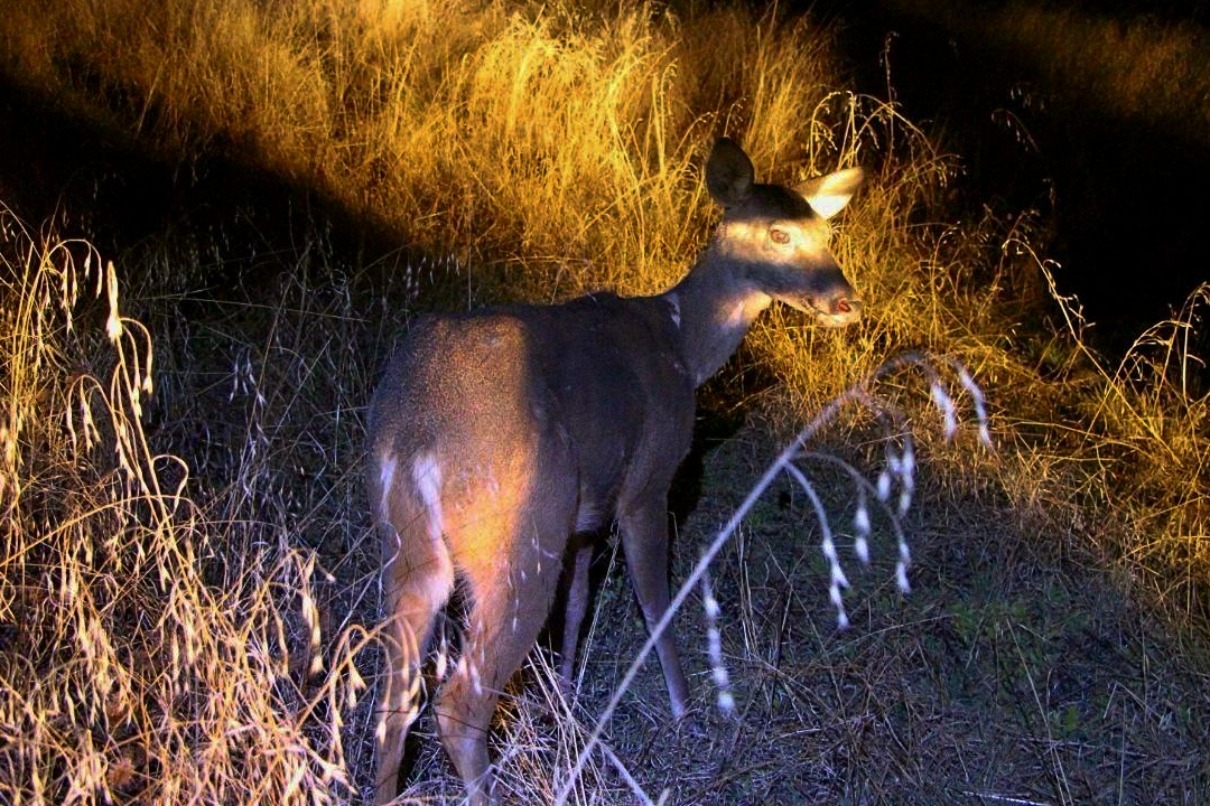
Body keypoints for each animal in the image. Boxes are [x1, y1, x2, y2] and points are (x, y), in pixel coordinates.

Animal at [363, 134, 866, 798]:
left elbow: (580, 599)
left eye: (826, 234)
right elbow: (655, 597)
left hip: (407, 544)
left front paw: (567, 690)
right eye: (779, 233)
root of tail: (419, 435)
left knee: (392, 693)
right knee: (457, 703)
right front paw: (684, 710)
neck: (682, 348)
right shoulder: (648, 483)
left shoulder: (586, 514)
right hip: (519, 535)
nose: (845, 301)